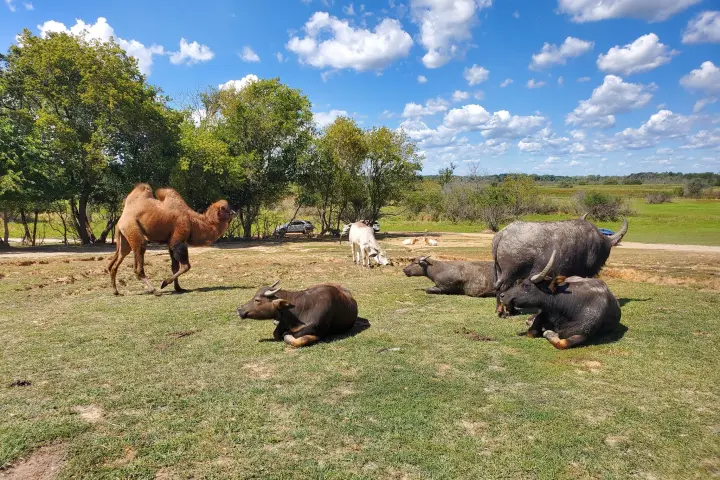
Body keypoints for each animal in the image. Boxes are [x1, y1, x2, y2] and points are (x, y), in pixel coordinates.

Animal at [492, 216, 628, 316]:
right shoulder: (584, 273)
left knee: (498, 286)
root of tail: (501, 234)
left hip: (500, 271)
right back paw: (507, 311)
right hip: (509, 273)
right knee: (502, 288)